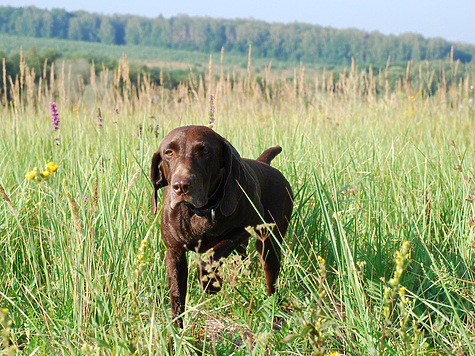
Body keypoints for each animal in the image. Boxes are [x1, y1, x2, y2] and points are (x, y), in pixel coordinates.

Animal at [152, 126, 294, 328]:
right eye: (169, 153)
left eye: (205, 151)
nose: (181, 186)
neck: (200, 211)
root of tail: (264, 164)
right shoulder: (174, 253)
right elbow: (177, 298)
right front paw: (176, 333)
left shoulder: (247, 226)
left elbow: (213, 254)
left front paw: (210, 282)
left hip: (268, 244)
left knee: (270, 281)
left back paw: (274, 316)